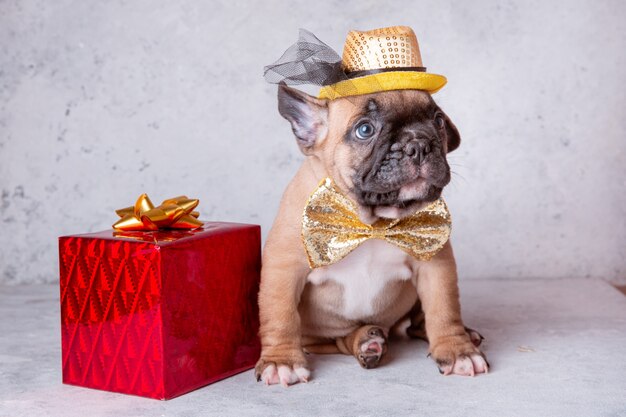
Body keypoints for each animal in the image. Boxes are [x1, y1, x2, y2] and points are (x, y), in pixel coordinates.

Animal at [254, 84, 488, 386]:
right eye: (364, 130)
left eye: (437, 121)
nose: (419, 144)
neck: (372, 222)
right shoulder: (284, 267)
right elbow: (280, 314)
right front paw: (281, 361)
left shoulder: (435, 264)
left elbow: (444, 309)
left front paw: (458, 351)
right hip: (318, 334)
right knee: (337, 341)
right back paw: (366, 342)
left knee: (418, 322)